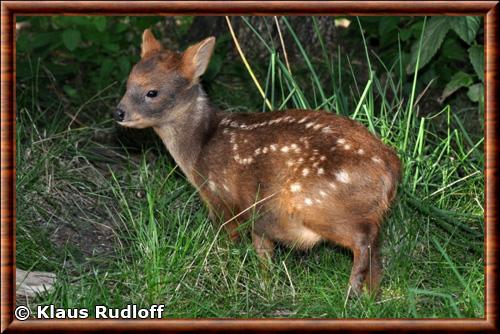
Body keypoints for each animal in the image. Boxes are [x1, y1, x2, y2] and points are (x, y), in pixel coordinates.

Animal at [115, 29, 400, 294]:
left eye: (152, 92)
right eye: (127, 84)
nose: (119, 112)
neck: (199, 148)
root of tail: (391, 169)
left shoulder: (223, 200)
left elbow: (232, 241)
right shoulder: (257, 211)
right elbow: (263, 252)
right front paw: (265, 284)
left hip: (318, 204)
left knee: (363, 240)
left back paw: (351, 292)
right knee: (376, 248)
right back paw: (371, 296)